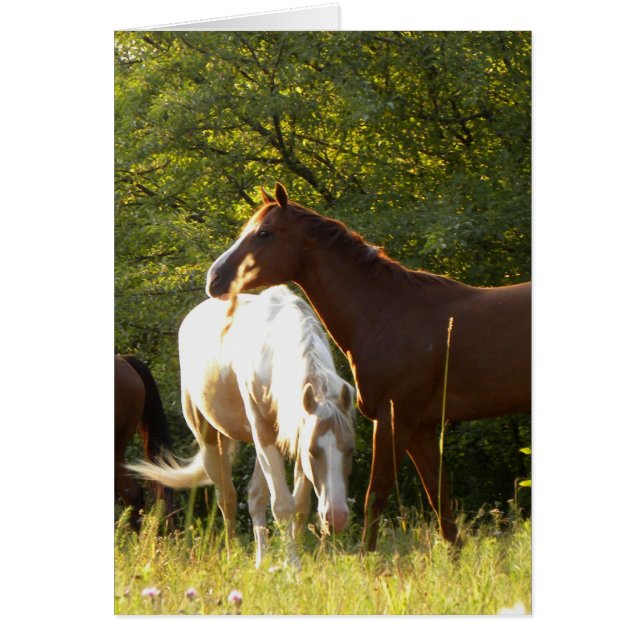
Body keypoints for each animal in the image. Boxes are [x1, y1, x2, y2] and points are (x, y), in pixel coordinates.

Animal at [128, 286, 355, 567]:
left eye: (351, 450)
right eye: (314, 452)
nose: (337, 518)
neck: (273, 351)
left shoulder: (296, 433)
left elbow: (299, 505)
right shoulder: (271, 435)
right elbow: (282, 504)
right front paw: (293, 567)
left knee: (254, 497)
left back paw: (261, 560)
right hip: (210, 440)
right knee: (227, 498)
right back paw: (230, 555)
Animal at [205, 183, 531, 551]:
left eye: (263, 233)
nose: (214, 277)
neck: (388, 314)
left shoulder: (392, 421)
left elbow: (375, 497)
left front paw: (367, 559)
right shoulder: (419, 428)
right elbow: (440, 500)